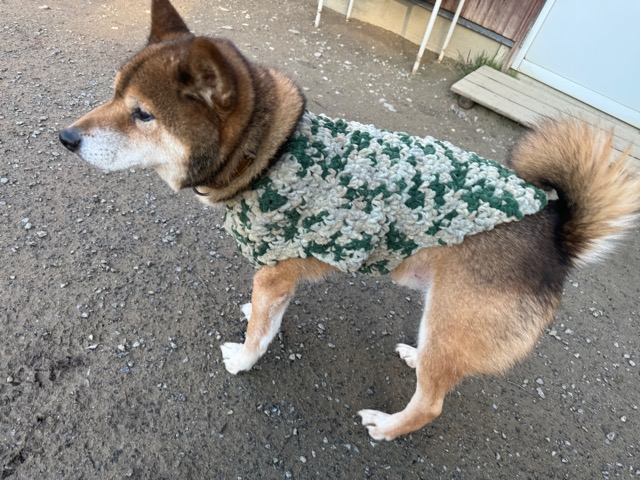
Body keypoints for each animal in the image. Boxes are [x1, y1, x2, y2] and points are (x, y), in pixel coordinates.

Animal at [59, 0, 640, 441]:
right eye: (114, 93)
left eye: (142, 114)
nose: (65, 138)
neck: (265, 156)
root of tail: (556, 229)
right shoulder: (280, 273)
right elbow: (267, 317)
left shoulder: (276, 268)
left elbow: (259, 335)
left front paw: (243, 360)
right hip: (443, 319)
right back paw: (414, 357)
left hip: (452, 319)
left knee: (431, 404)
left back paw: (388, 426)